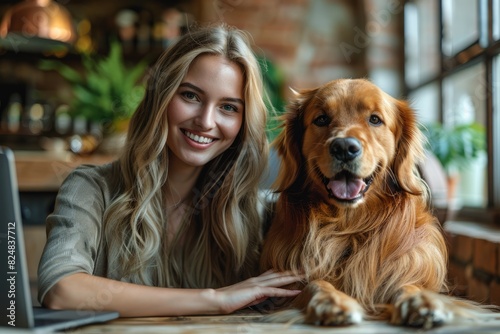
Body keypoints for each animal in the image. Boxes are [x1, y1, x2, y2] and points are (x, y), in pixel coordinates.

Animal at [262, 78, 492, 328]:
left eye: (375, 119)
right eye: (321, 119)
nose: (344, 147)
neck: (349, 226)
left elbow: (407, 284)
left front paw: (421, 301)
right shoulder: (289, 283)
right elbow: (315, 284)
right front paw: (332, 301)